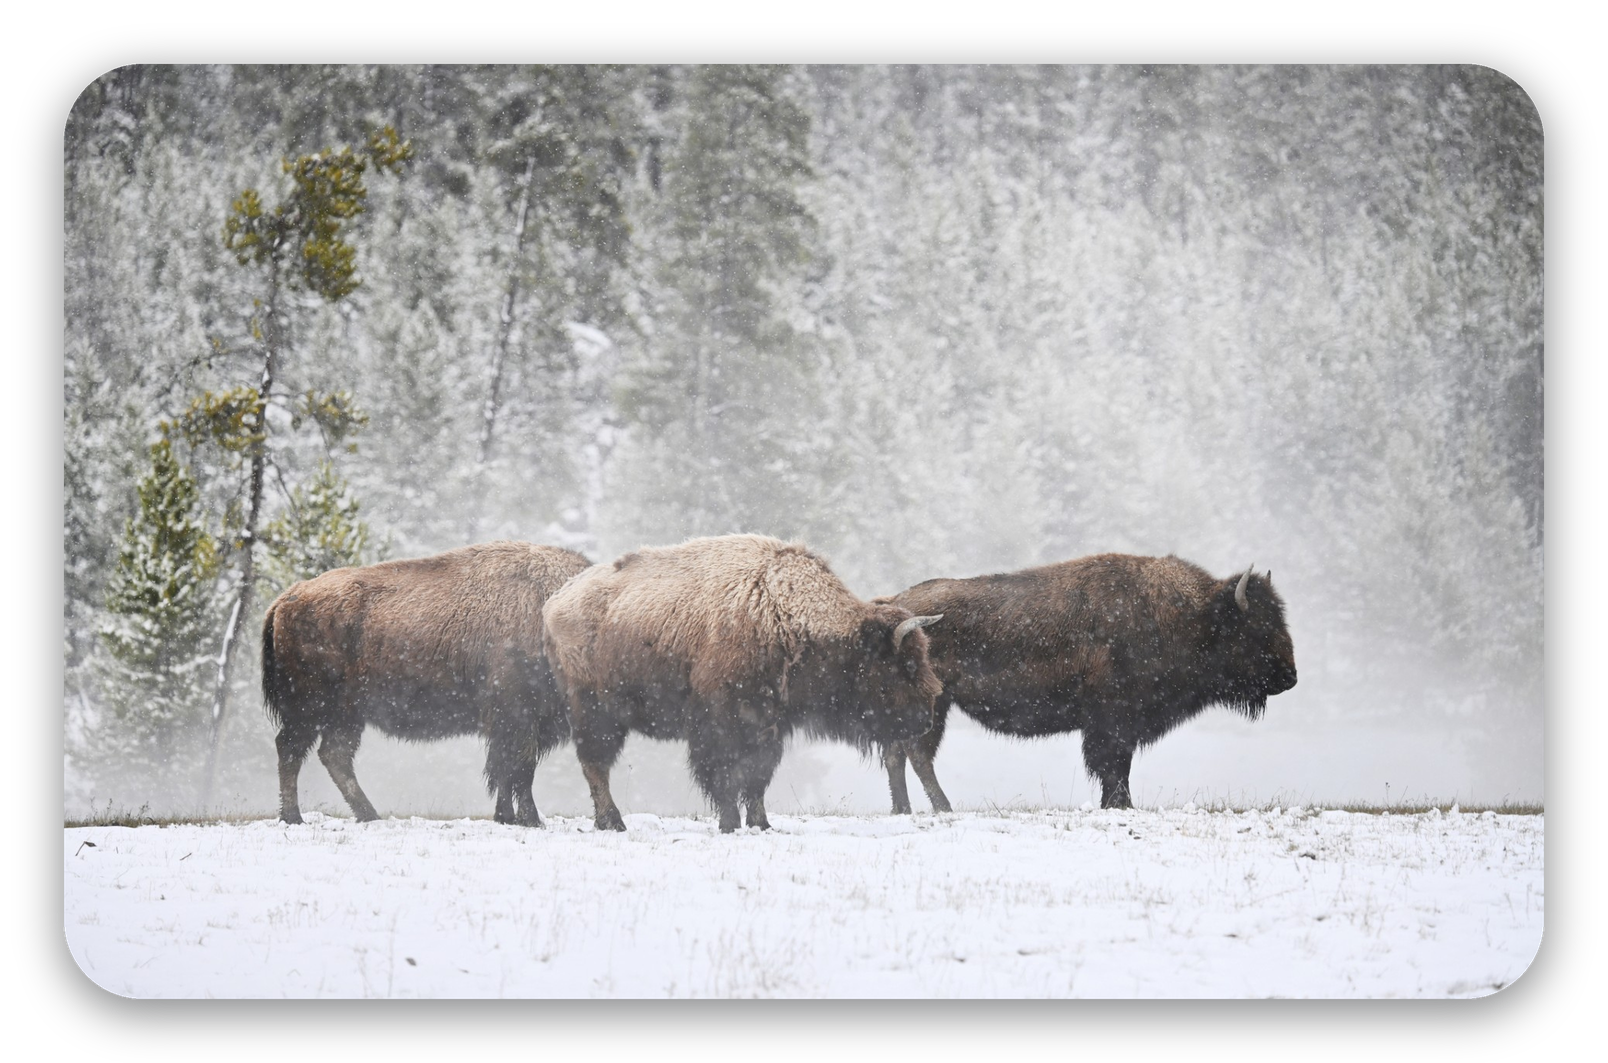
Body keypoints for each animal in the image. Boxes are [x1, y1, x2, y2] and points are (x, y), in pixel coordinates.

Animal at [261, 541, 592, 826]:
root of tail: (286, 599)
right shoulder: (519, 717)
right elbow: (519, 769)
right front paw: (530, 820)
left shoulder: (514, 724)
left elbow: (506, 770)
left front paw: (507, 817)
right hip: (309, 710)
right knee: (291, 749)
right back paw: (294, 817)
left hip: (346, 715)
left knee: (333, 755)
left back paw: (369, 816)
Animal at [541, 534, 944, 833]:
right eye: (905, 664)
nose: (925, 718)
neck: (781, 614)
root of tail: (556, 603)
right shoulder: (720, 724)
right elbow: (724, 776)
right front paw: (730, 823)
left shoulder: (769, 727)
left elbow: (756, 778)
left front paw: (761, 824)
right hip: (596, 711)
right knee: (596, 764)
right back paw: (613, 822)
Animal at [877, 553, 1297, 812]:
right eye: (1256, 628)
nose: (1290, 677)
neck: (1192, 617)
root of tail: (896, 603)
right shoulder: (1112, 720)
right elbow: (1112, 764)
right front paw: (1121, 804)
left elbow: (1117, 765)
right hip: (935, 705)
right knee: (917, 754)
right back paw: (942, 807)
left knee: (898, 754)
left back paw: (903, 810)